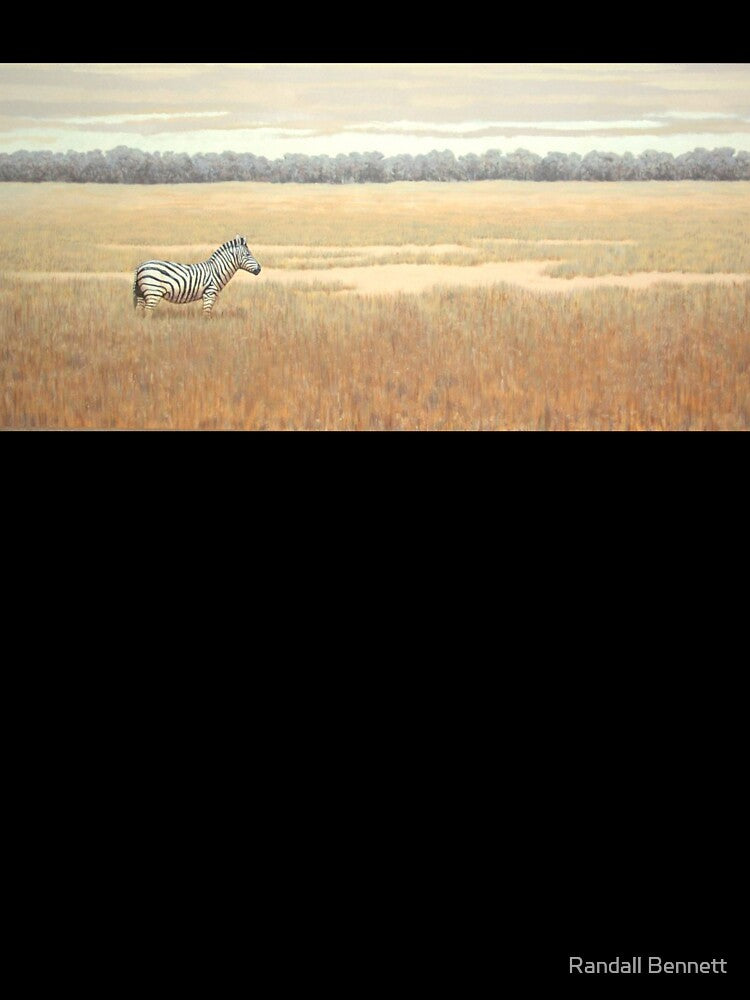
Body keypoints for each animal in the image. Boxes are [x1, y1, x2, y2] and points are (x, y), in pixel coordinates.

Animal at [132, 235, 261, 317]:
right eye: (248, 254)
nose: (259, 269)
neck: (217, 270)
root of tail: (140, 266)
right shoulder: (209, 294)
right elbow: (206, 315)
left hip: (141, 293)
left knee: (139, 312)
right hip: (153, 292)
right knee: (148, 313)